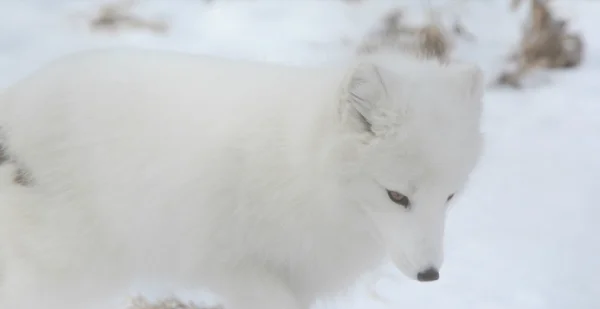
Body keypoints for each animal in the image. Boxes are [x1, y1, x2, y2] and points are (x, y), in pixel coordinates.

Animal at [0, 47, 482, 308]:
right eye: (397, 196)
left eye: (449, 198)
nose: (430, 275)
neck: (301, 169)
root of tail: (14, 102)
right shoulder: (230, 264)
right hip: (63, 271)